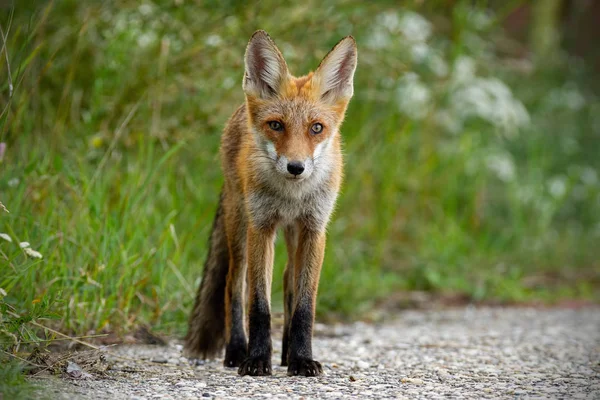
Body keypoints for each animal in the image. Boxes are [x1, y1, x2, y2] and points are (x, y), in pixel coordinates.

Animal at [185, 30, 356, 376]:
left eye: (316, 128)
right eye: (276, 125)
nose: (296, 167)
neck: (291, 197)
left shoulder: (314, 230)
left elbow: (304, 306)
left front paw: (302, 359)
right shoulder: (261, 227)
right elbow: (259, 305)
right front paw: (256, 360)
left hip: (291, 235)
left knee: (288, 280)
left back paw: (288, 353)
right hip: (239, 226)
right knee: (233, 285)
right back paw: (237, 350)